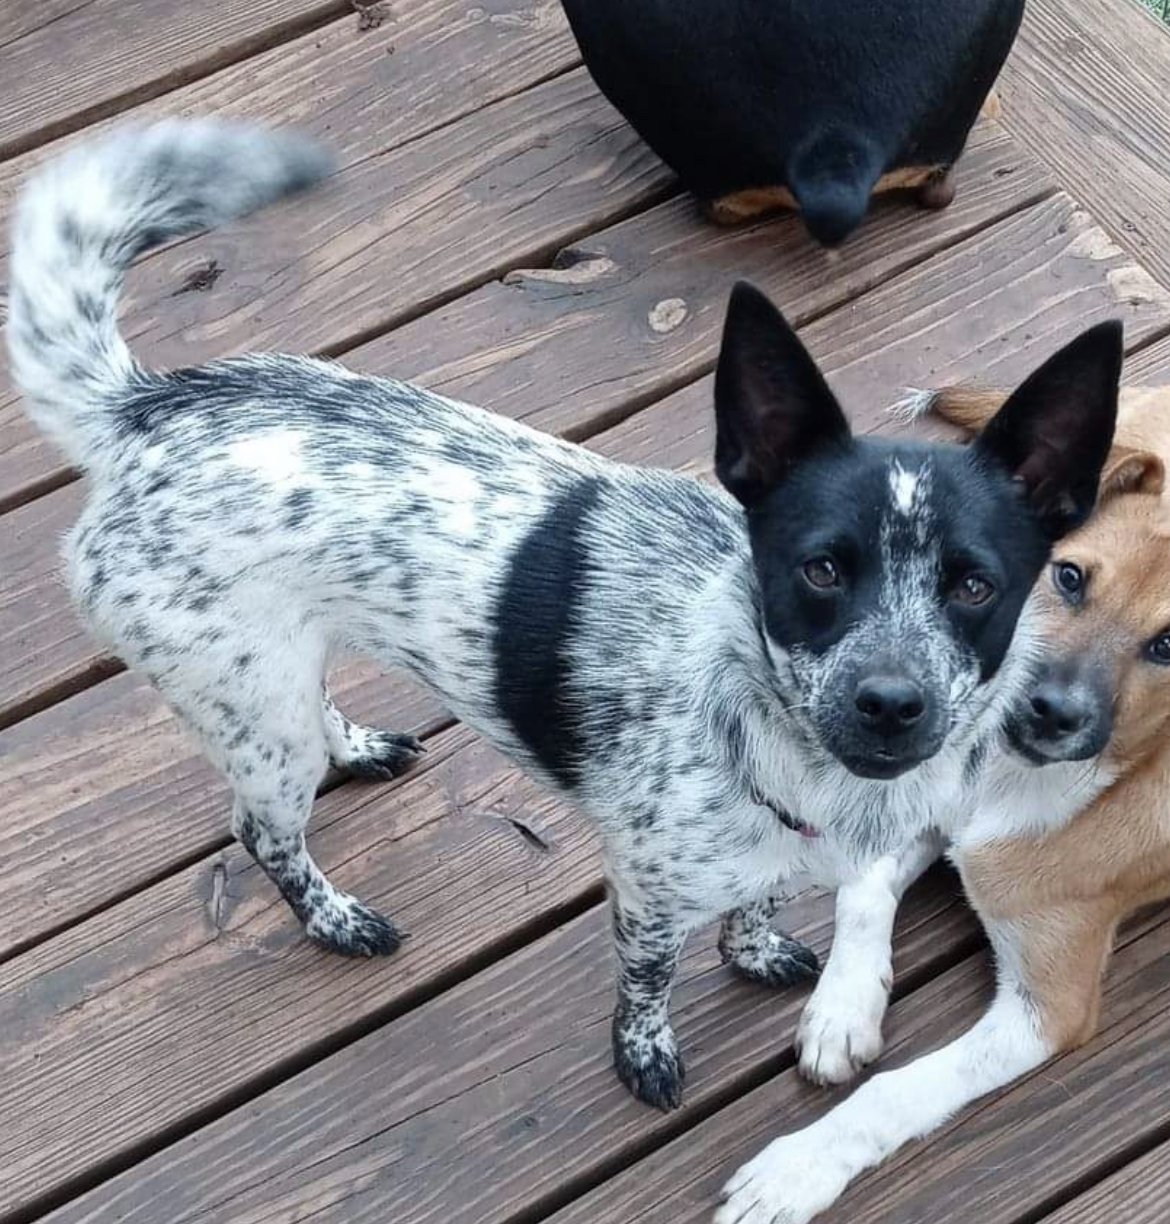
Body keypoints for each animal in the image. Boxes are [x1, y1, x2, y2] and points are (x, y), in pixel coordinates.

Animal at [714, 384, 1170, 1224]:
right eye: (1069, 578)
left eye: (1169, 646)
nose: (1048, 712)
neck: (1006, 782)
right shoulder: (924, 799)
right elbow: (863, 889)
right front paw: (844, 1008)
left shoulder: (1045, 1009)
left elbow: (899, 1091)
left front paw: (797, 1169)